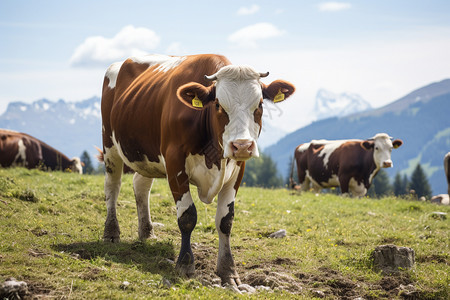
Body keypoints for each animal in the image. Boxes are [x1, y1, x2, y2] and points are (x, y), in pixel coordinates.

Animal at [99, 54, 296, 286]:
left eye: (260, 104)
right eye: (218, 104)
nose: (242, 145)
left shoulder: (238, 168)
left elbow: (225, 220)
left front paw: (228, 271)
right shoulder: (174, 162)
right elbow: (187, 216)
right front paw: (185, 265)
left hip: (145, 155)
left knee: (141, 185)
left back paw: (146, 232)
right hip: (109, 144)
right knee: (112, 187)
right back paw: (111, 233)